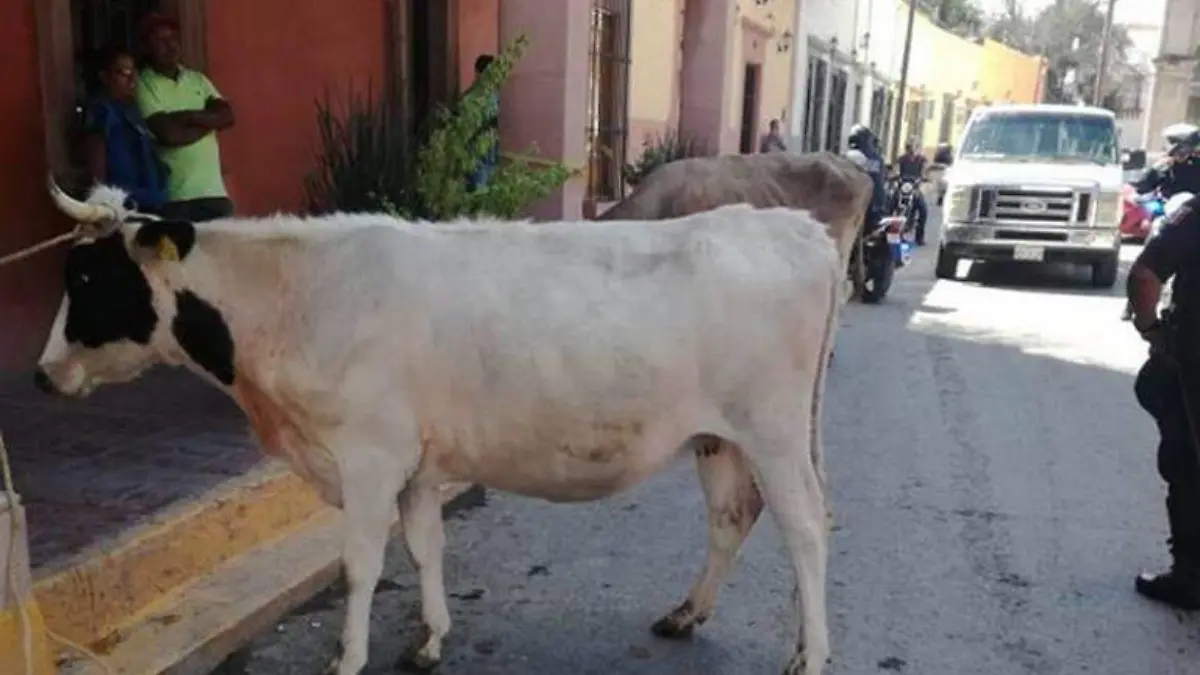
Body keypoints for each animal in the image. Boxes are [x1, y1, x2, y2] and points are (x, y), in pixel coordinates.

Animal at [34, 182, 842, 675]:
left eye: (89, 280)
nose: (42, 374)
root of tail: (792, 226)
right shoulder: (415, 461)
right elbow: (425, 547)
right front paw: (429, 638)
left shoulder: (367, 457)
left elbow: (361, 564)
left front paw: (348, 656)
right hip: (721, 436)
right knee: (733, 515)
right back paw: (686, 613)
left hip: (773, 430)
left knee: (805, 527)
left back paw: (811, 652)